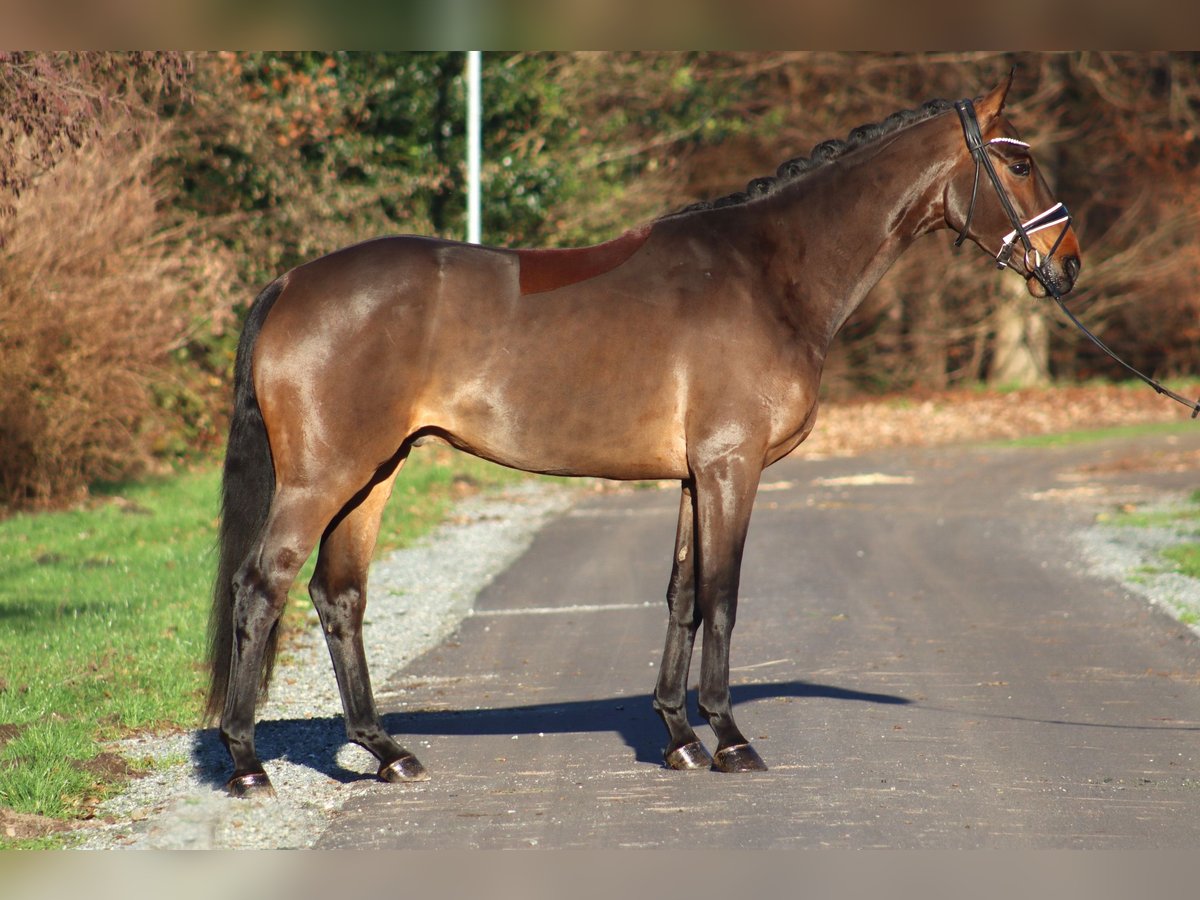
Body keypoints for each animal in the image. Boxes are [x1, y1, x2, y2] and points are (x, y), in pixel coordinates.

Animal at [204, 74, 1080, 801]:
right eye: (1020, 163)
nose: (1068, 264)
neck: (768, 272)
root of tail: (292, 282)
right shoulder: (732, 466)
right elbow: (722, 596)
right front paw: (731, 739)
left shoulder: (697, 475)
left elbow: (682, 597)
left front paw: (680, 738)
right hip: (325, 476)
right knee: (263, 585)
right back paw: (247, 764)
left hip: (374, 472)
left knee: (338, 596)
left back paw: (388, 753)